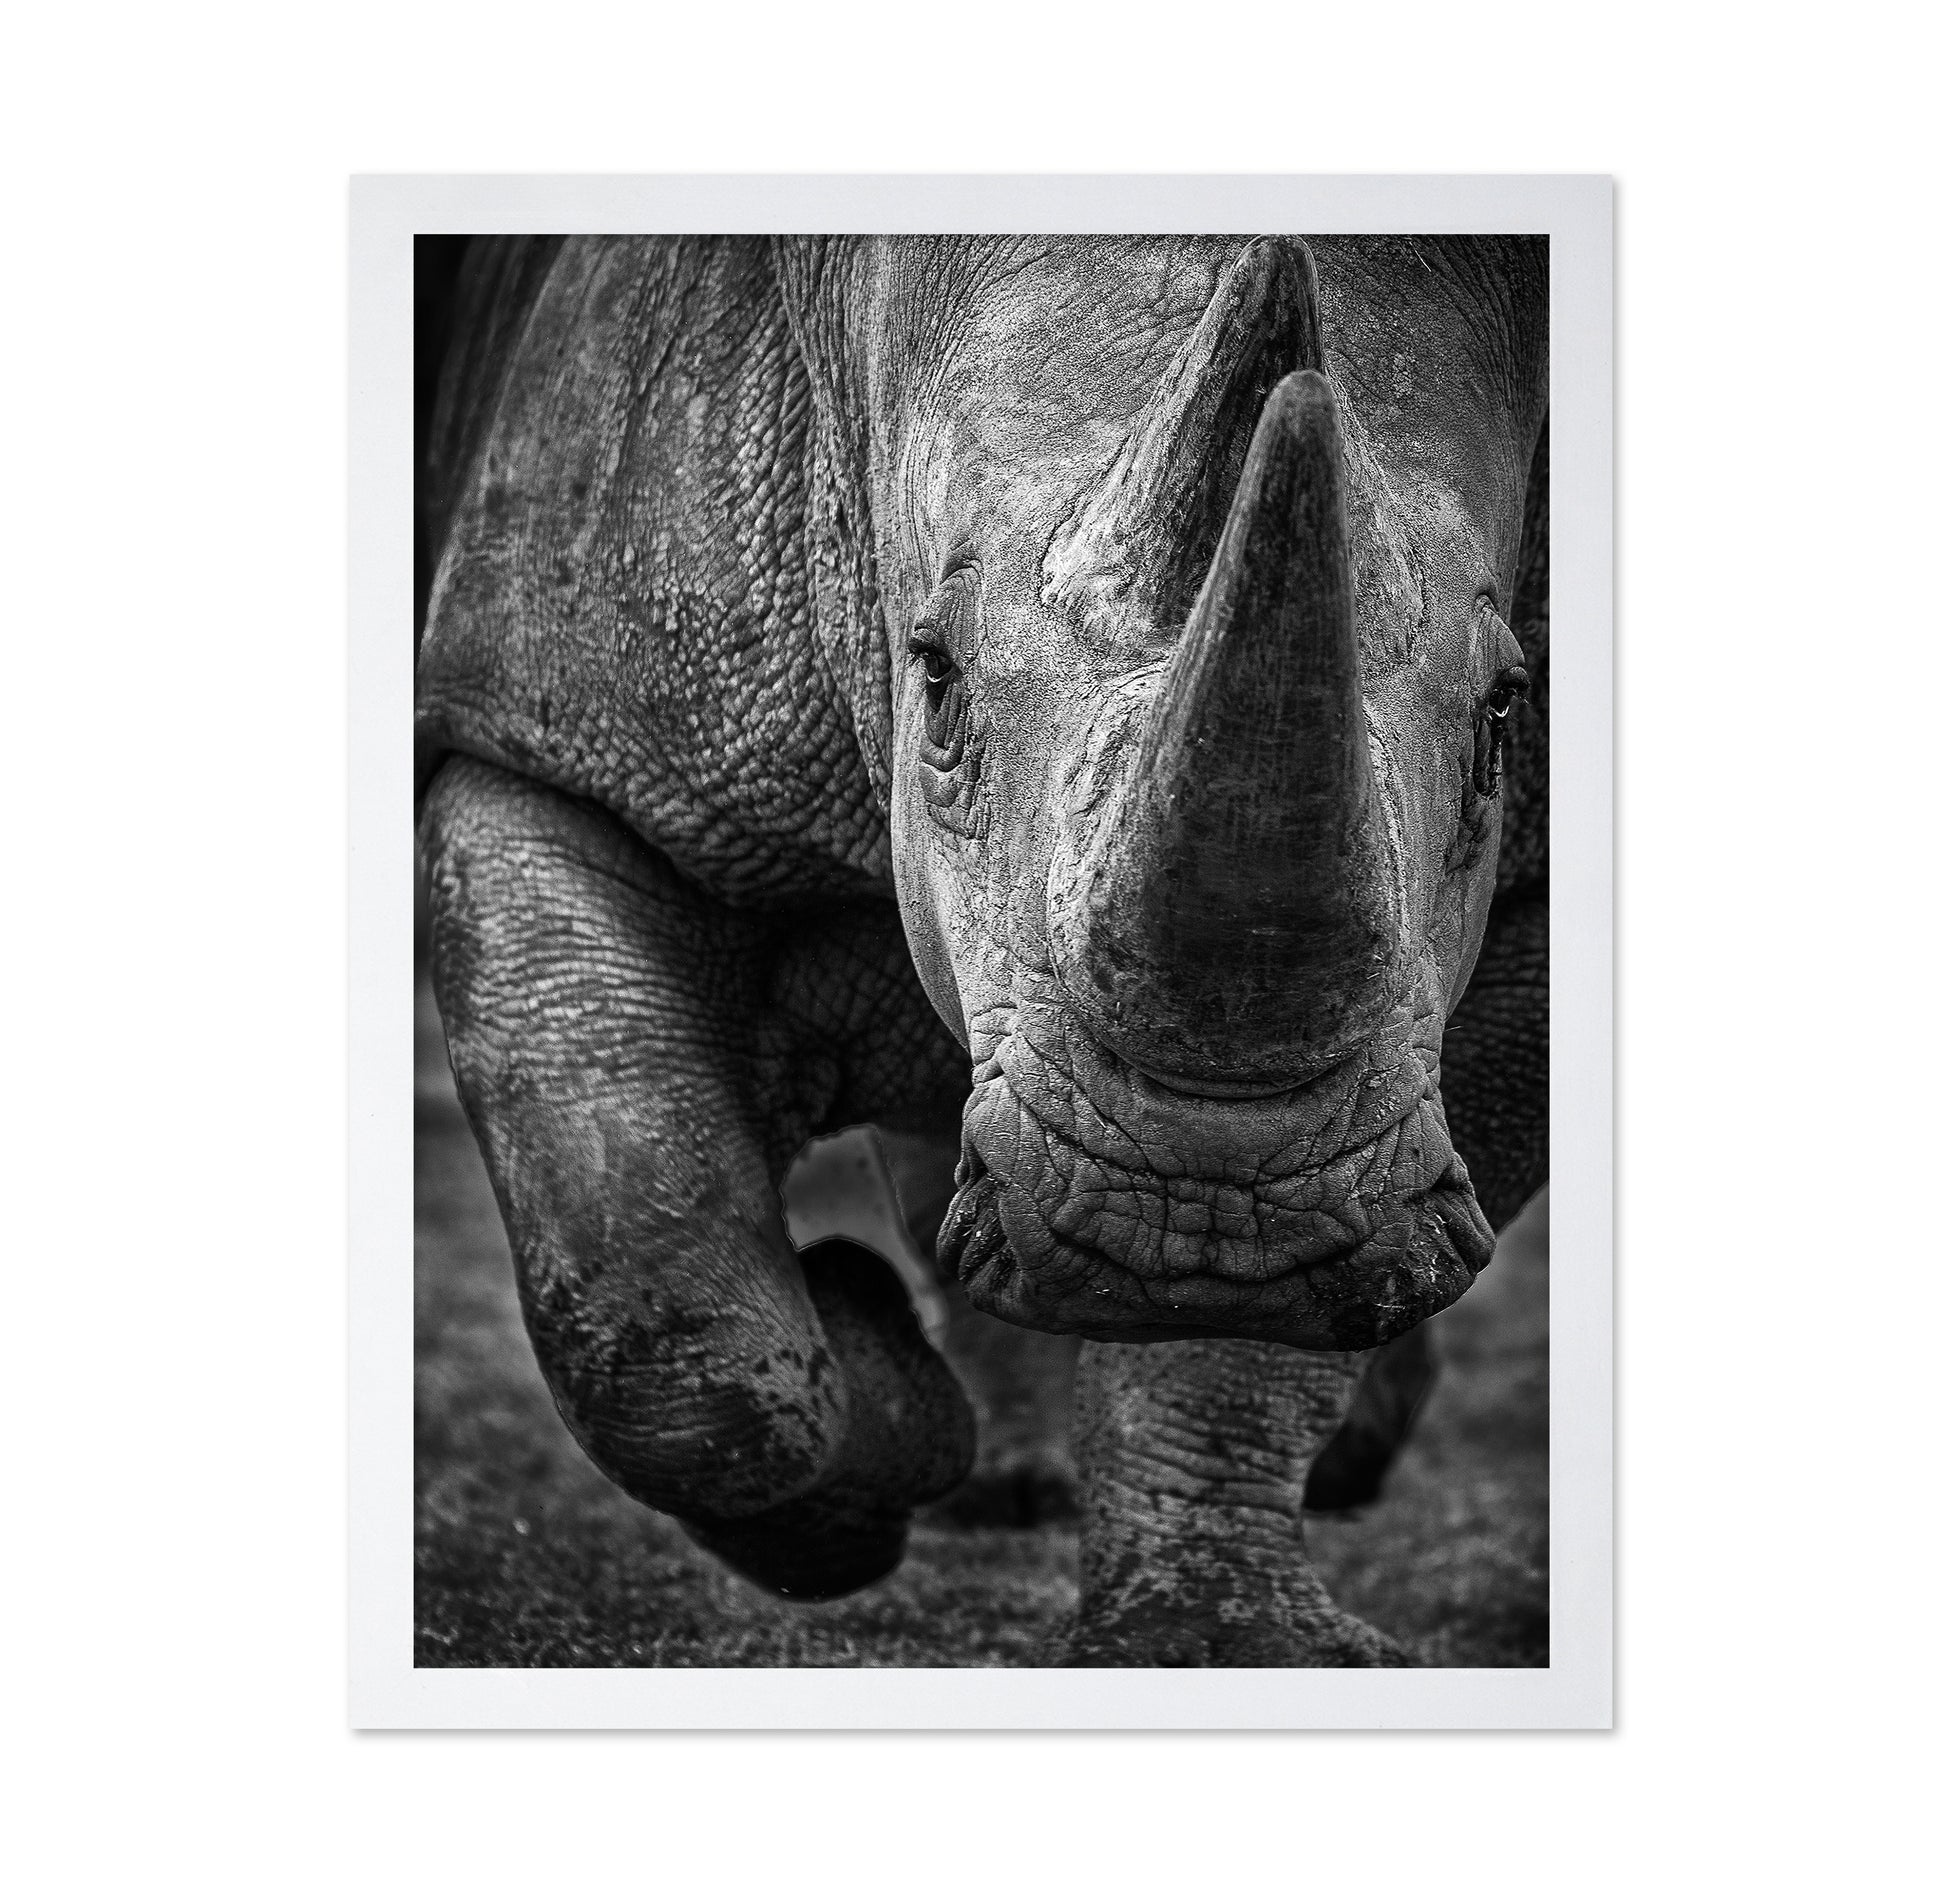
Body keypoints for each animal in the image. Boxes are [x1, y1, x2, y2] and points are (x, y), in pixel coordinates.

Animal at [416, 233, 1549, 1666]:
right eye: (935, 679)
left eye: (1504, 716)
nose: (1200, 1212)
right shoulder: (552, 738)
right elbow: (660, 1306)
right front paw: (878, 1402)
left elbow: (1244, 1348)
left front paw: (1213, 1644)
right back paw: (982, 1470)